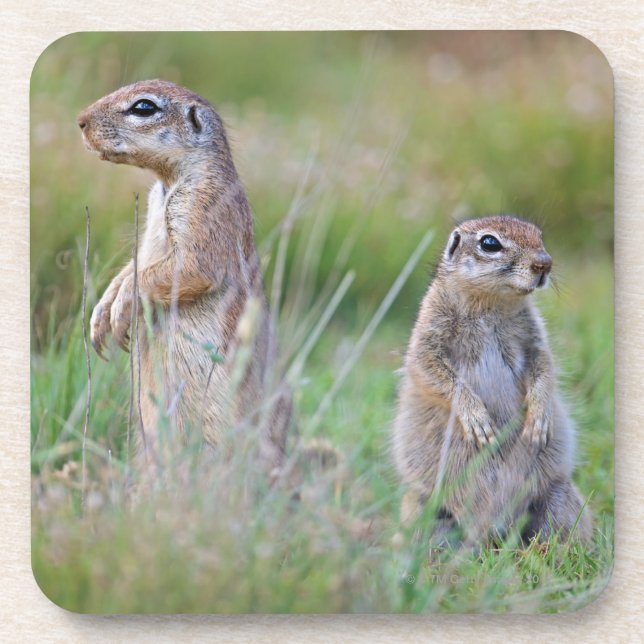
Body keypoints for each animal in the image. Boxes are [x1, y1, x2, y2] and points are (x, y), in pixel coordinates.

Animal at [77, 79, 291, 474]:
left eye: (143, 107)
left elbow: (188, 267)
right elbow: (133, 266)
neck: (167, 182)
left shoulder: (205, 207)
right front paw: (101, 313)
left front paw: (121, 308)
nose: (80, 120)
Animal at [392, 215, 592, 545]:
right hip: (420, 506)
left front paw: (539, 417)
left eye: (539, 236)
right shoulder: (428, 335)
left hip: (560, 497)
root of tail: (494, 526)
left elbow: (544, 367)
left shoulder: (535, 339)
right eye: (489, 243)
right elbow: (431, 370)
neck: (492, 303)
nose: (545, 263)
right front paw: (476, 419)